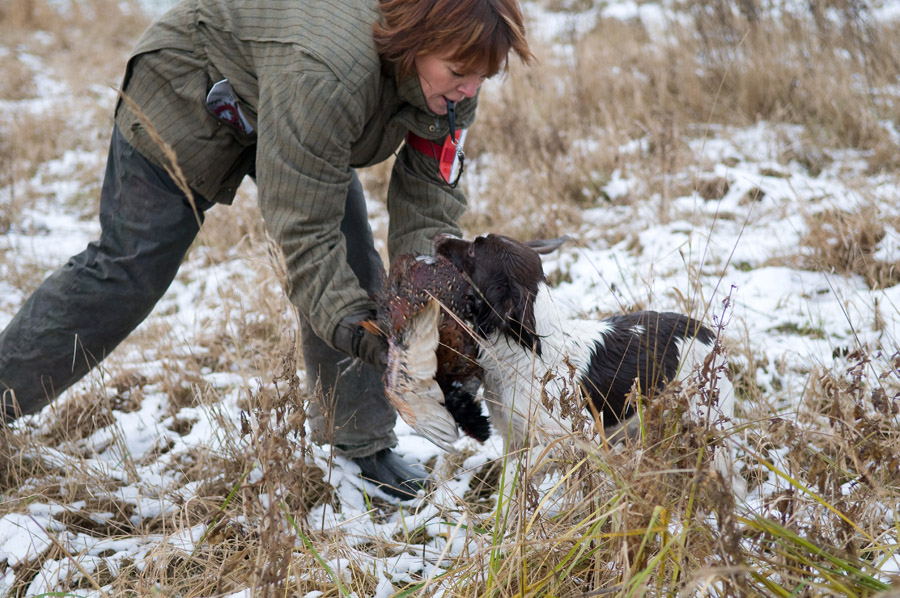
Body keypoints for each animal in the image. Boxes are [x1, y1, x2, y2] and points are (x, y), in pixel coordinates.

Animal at [430, 234, 744, 496]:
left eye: (474, 249)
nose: (438, 238)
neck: (528, 353)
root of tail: (708, 333)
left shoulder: (575, 439)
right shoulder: (515, 439)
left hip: (709, 427)